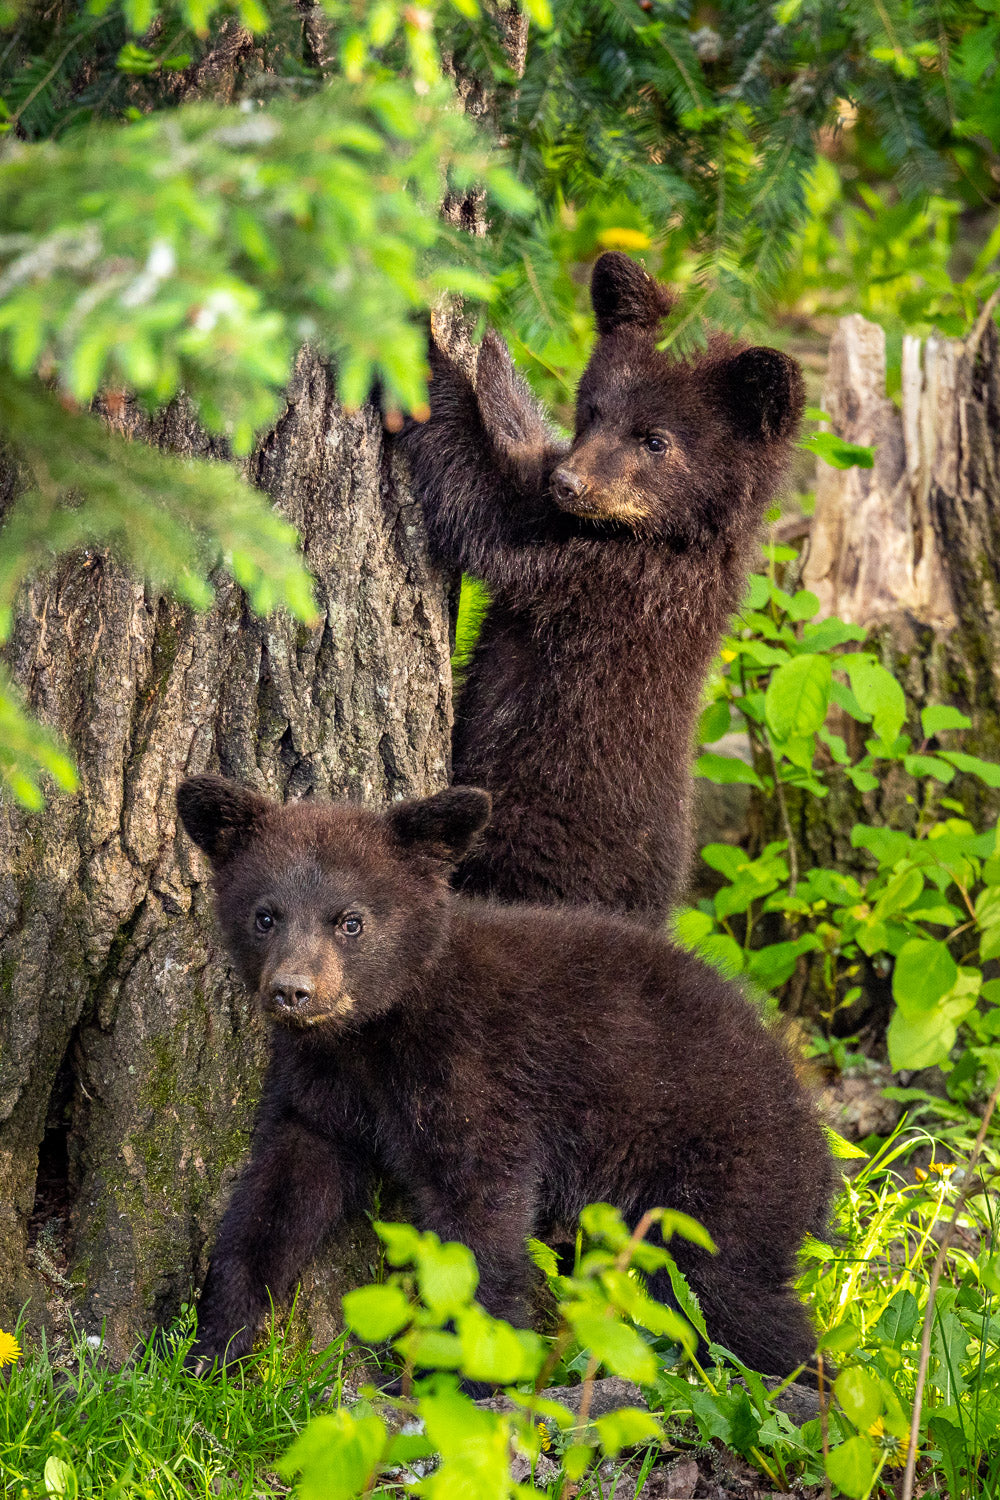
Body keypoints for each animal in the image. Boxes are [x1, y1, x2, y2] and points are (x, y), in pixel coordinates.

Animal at [176, 773, 834, 1379]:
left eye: (351, 921)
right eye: (265, 915)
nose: (293, 991)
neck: (373, 1035)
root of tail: (814, 1130)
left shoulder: (475, 1076)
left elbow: (479, 1218)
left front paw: (476, 1373)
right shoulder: (322, 1093)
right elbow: (275, 1199)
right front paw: (210, 1345)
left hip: (722, 1183)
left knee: (734, 1298)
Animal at [400, 252, 805, 923]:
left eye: (656, 440)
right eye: (592, 408)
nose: (569, 482)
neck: (673, 538)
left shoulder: (601, 574)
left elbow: (480, 504)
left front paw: (414, 340)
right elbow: (518, 438)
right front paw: (490, 344)